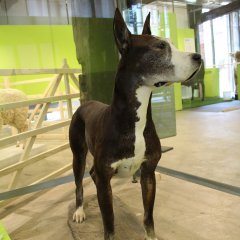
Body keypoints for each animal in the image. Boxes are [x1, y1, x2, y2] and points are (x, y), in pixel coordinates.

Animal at [68, 8, 202, 239]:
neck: (134, 120)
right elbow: (109, 225)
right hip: (78, 155)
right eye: (160, 47)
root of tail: (85, 104)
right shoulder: (105, 179)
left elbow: (148, 216)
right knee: (79, 182)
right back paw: (79, 211)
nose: (198, 56)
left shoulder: (148, 174)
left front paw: (151, 236)